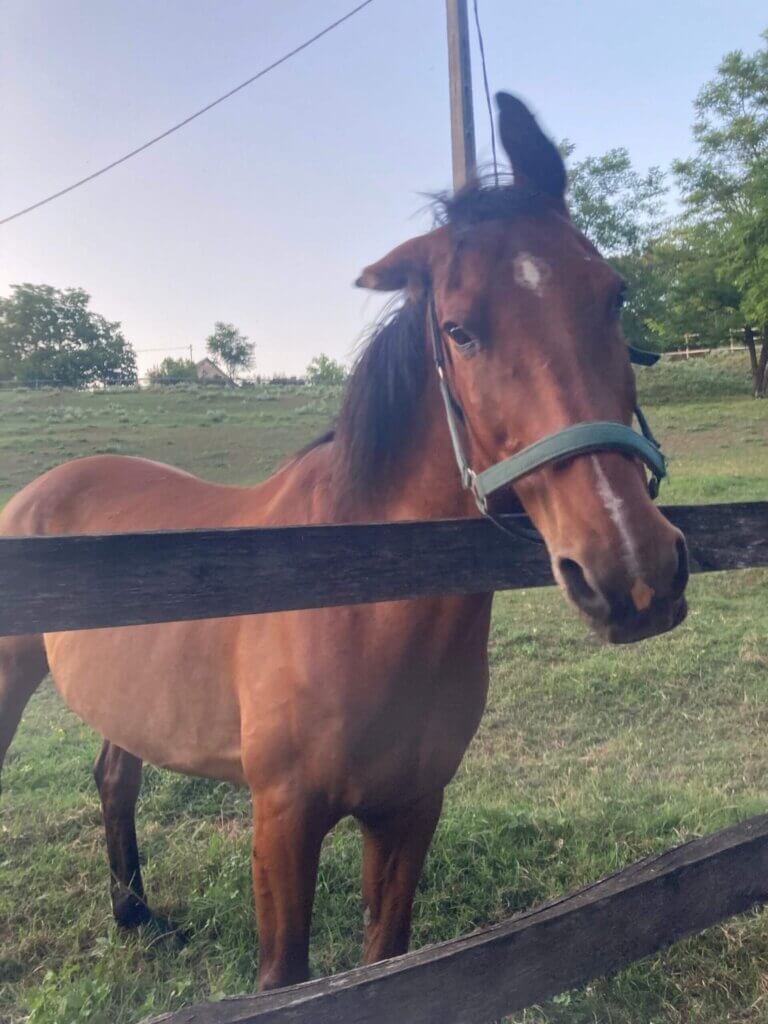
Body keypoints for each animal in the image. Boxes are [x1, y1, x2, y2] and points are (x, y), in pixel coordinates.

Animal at [0, 94, 688, 991]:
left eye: (614, 295)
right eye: (459, 330)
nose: (632, 571)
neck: (356, 600)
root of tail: (48, 485)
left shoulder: (409, 811)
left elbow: (387, 956)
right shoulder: (283, 823)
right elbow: (284, 979)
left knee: (115, 778)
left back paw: (137, 916)